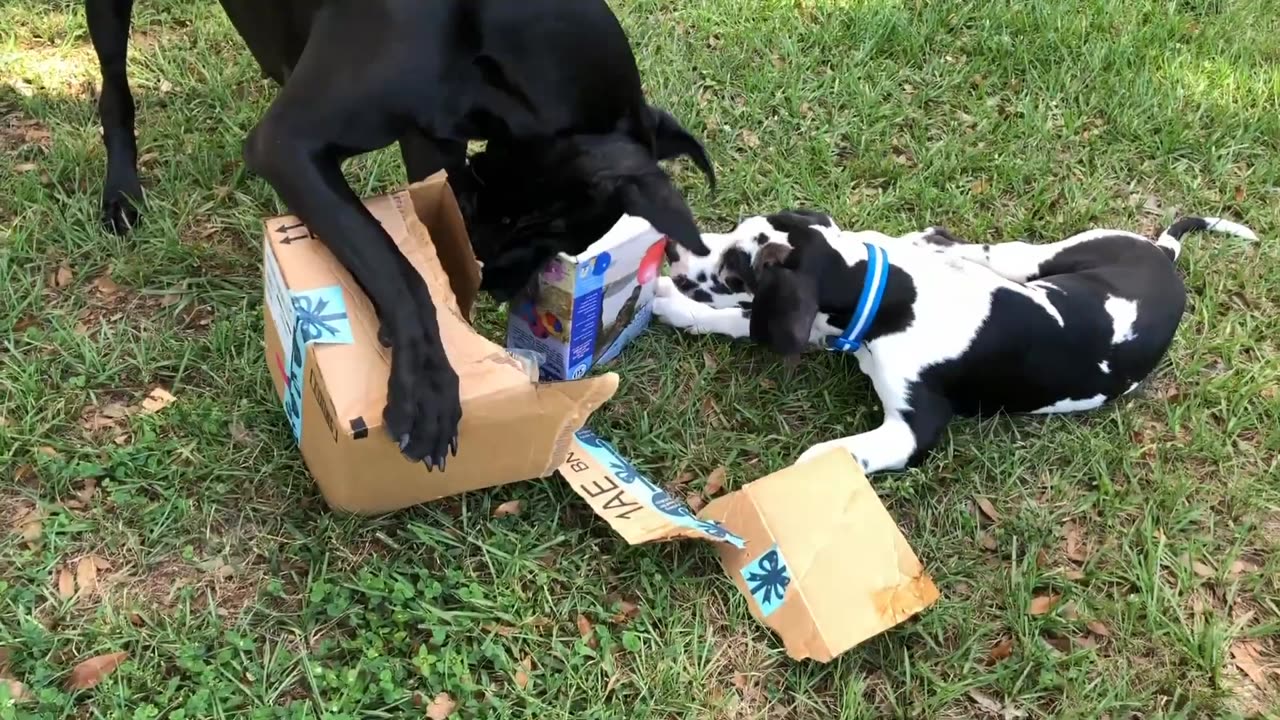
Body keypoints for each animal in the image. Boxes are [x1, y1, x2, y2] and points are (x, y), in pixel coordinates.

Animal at [85, 0, 716, 468]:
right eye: (532, 224)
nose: (500, 287)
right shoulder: (289, 144)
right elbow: (398, 266)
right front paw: (429, 381)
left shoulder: (432, 140)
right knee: (113, 88)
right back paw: (121, 192)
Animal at [655, 210, 1254, 474]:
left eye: (734, 267)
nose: (674, 250)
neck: (894, 294)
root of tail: (1164, 258)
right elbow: (741, 321)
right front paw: (675, 306)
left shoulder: (911, 431)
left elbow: (827, 454)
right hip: (1032, 257)